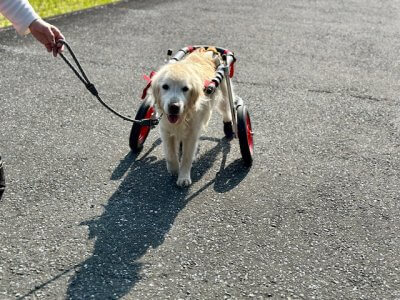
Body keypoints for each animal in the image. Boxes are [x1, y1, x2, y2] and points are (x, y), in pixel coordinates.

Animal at [150, 48, 231, 186]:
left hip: (224, 95)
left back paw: (229, 127)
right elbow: (170, 154)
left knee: (227, 110)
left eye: (185, 88)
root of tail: (209, 50)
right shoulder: (166, 130)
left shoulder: (192, 134)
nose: (174, 107)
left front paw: (183, 177)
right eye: (165, 86)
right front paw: (174, 169)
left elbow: (187, 157)